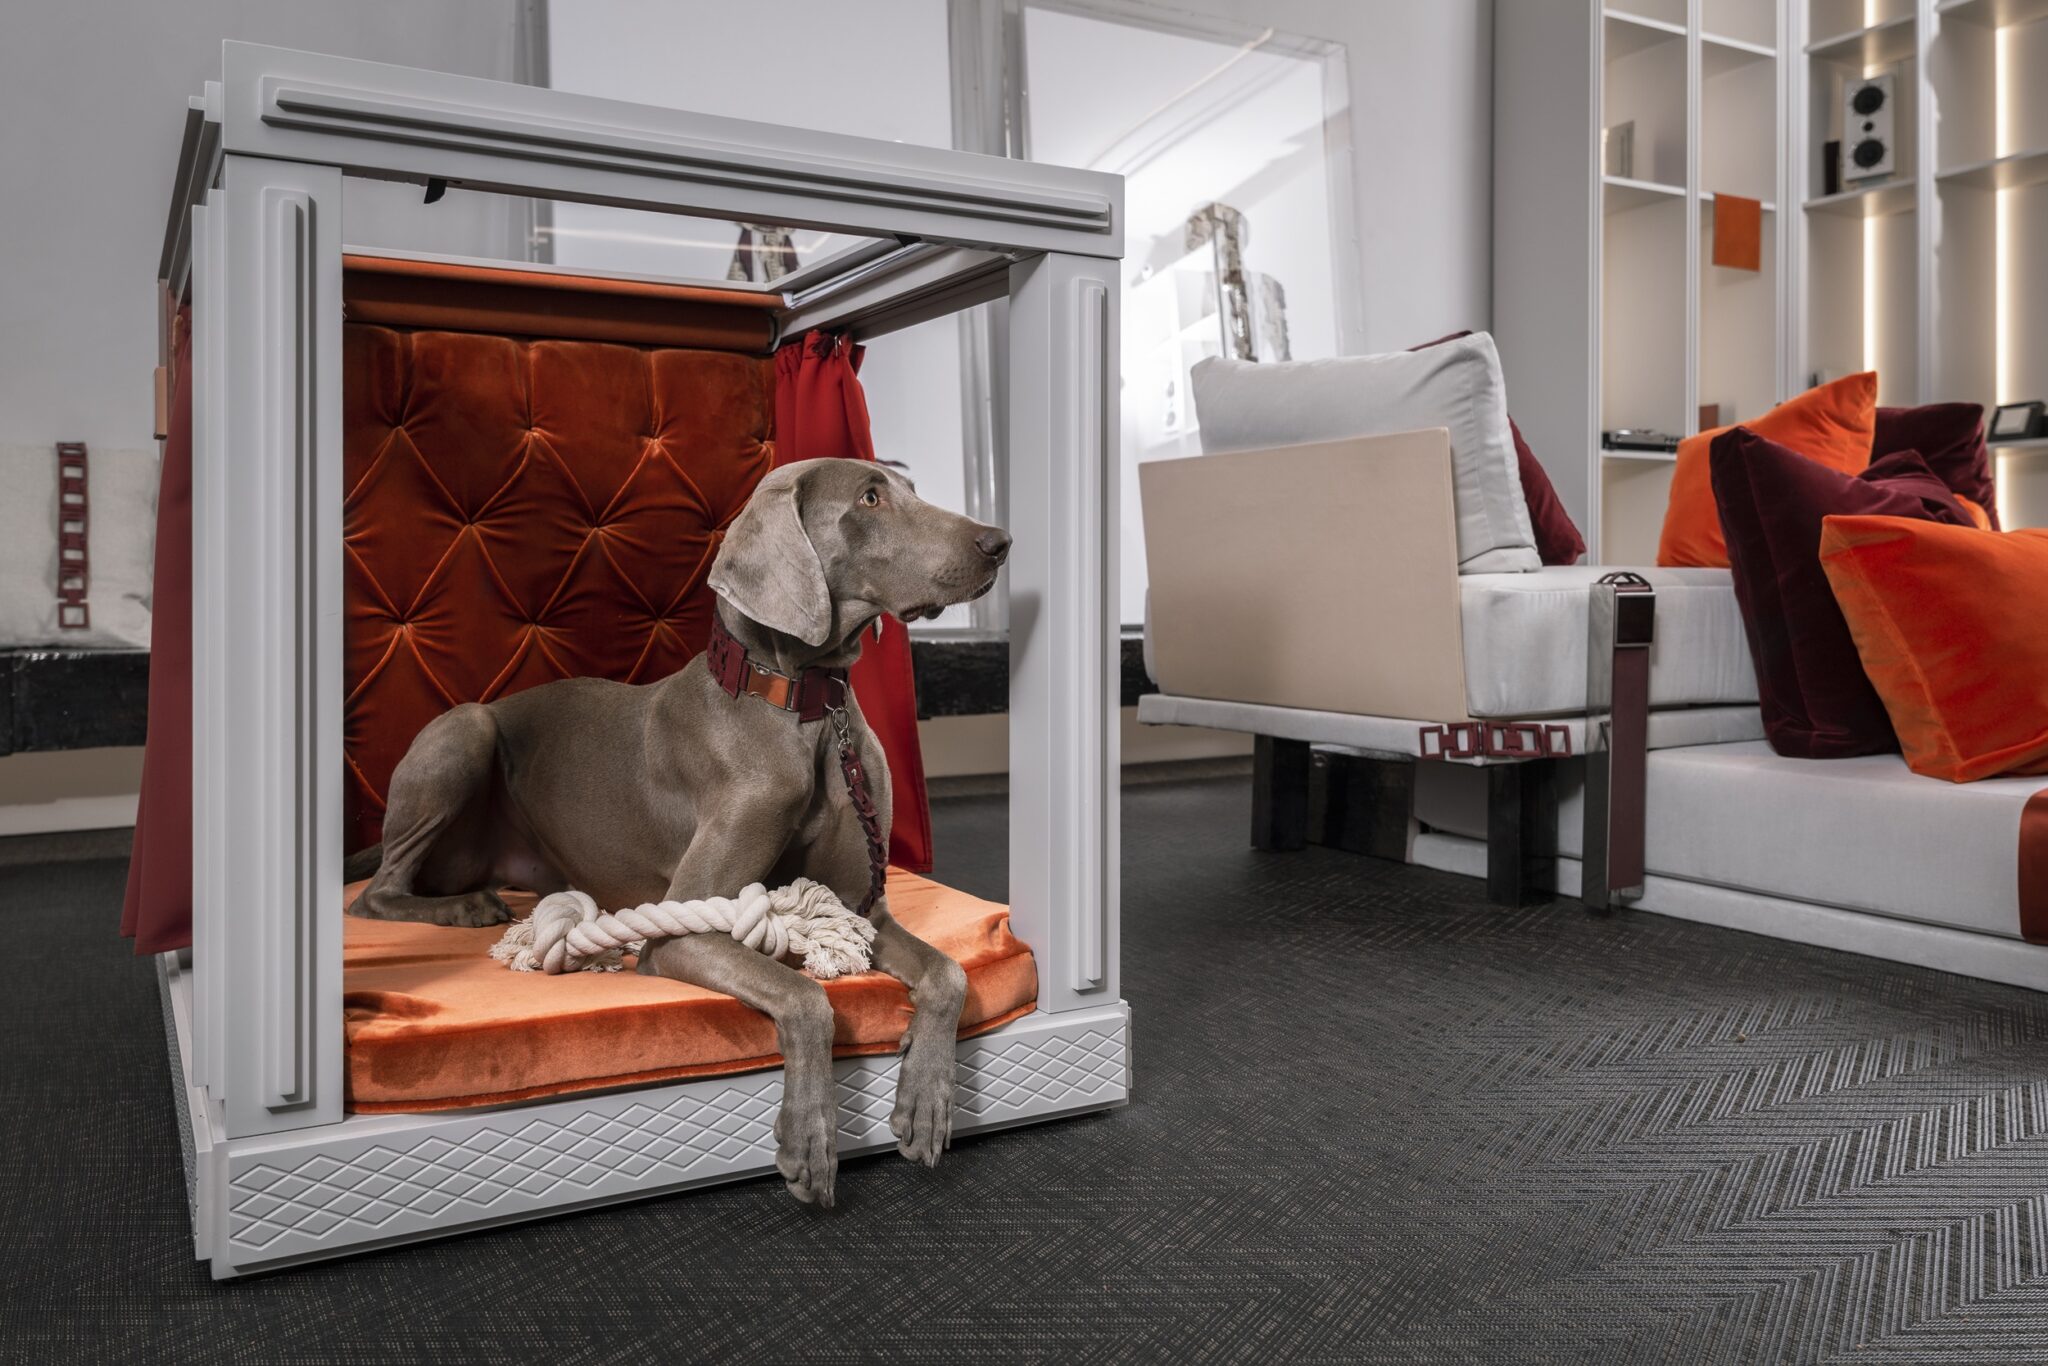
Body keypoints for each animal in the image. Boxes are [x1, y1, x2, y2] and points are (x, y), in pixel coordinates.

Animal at [348, 458, 1011, 1204]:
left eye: (912, 491)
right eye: (869, 498)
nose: (1000, 543)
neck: (806, 707)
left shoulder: (861, 908)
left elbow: (948, 973)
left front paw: (925, 1099)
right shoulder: (680, 928)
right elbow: (804, 995)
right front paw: (810, 1138)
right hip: (465, 728)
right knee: (375, 892)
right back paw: (463, 909)